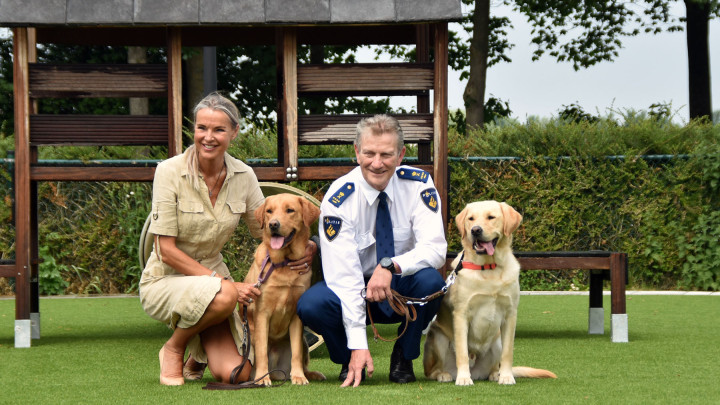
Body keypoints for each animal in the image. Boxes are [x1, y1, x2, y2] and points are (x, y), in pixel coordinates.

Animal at [246, 193, 328, 386]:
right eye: (269, 211)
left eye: (290, 210)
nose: (273, 224)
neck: (283, 262)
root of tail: (277, 372)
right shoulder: (262, 314)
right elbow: (261, 352)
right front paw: (262, 378)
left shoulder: (296, 316)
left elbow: (296, 353)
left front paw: (298, 377)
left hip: (304, 342)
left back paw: (310, 374)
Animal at [422, 200, 556, 384]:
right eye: (471, 219)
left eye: (491, 217)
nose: (475, 230)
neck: (488, 267)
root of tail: (476, 371)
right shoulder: (461, 314)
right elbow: (462, 352)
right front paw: (464, 379)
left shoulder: (510, 314)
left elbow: (508, 353)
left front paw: (506, 377)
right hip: (438, 337)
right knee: (433, 370)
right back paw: (445, 374)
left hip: (496, 340)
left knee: (494, 365)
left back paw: (495, 374)